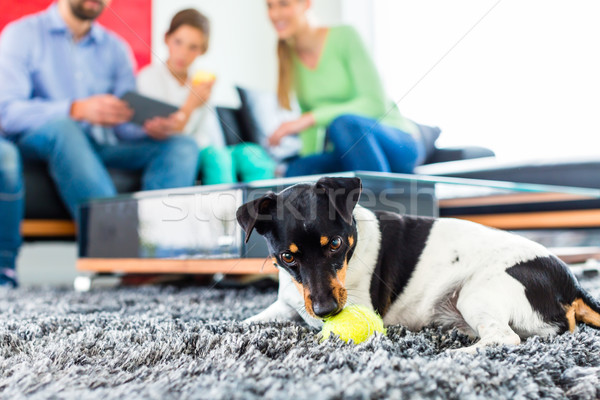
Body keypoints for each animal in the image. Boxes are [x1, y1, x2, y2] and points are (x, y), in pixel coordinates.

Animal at [236, 177, 600, 352]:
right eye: (287, 257)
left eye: (336, 244)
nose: (326, 311)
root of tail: (572, 285)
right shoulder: (286, 303)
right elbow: (248, 320)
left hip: (476, 294)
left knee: (505, 338)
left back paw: (454, 356)